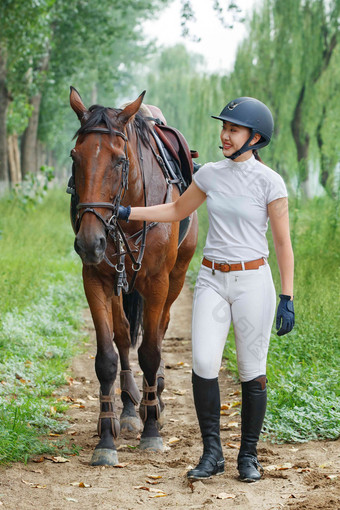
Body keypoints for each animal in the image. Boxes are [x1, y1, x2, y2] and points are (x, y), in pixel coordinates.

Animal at [68, 87, 198, 466]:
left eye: (119, 160)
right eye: (75, 157)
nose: (89, 241)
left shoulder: (157, 281)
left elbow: (151, 352)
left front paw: (152, 430)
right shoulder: (95, 278)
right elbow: (107, 358)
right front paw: (106, 437)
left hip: (177, 275)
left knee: (161, 327)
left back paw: (156, 398)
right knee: (125, 336)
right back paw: (128, 408)